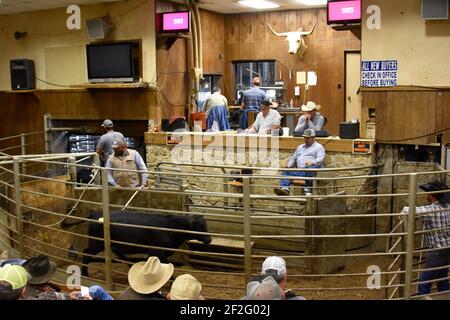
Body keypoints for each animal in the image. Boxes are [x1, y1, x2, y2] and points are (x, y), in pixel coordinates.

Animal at [79, 211, 211, 276]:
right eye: (200, 227)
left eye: (206, 225)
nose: (209, 239)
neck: (170, 227)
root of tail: (95, 214)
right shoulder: (157, 252)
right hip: (97, 243)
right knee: (86, 254)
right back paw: (85, 274)